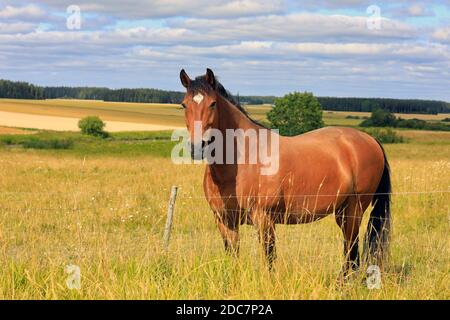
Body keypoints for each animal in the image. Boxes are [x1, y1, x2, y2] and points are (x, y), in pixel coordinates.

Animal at [178, 68, 390, 278]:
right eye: (184, 105)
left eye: (213, 103)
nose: (197, 147)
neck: (242, 160)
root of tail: (371, 140)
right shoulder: (225, 220)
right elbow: (232, 256)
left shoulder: (264, 219)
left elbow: (269, 258)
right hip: (342, 212)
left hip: (354, 211)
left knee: (351, 250)